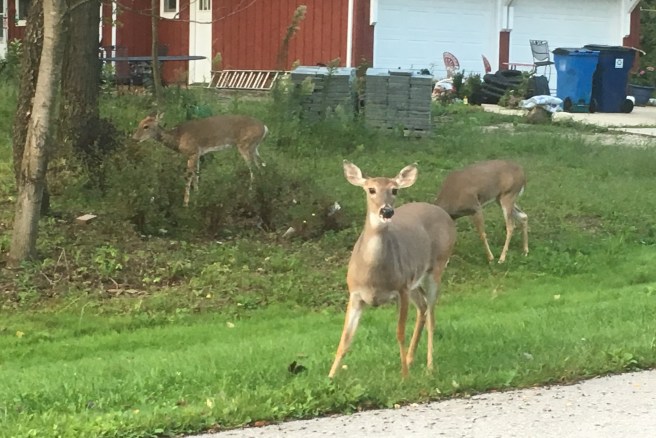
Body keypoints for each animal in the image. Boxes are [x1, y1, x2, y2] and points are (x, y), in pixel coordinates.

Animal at [132, 113, 268, 207]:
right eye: (139, 123)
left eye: (146, 126)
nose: (134, 138)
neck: (177, 138)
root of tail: (265, 127)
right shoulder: (198, 154)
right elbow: (196, 176)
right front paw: (197, 196)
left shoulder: (192, 152)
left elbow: (189, 177)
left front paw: (185, 203)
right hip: (254, 147)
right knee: (261, 167)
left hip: (245, 145)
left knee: (253, 170)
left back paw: (250, 194)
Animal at [328, 161, 457, 379]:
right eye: (371, 189)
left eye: (394, 190)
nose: (387, 211)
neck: (373, 276)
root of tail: (444, 214)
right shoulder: (355, 294)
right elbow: (345, 338)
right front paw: (330, 377)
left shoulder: (401, 289)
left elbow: (399, 333)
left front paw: (404, 377)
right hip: (413, 279)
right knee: (422, 306)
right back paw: (411, 359)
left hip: (437, 266)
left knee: (431, 315)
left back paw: (429, 366)